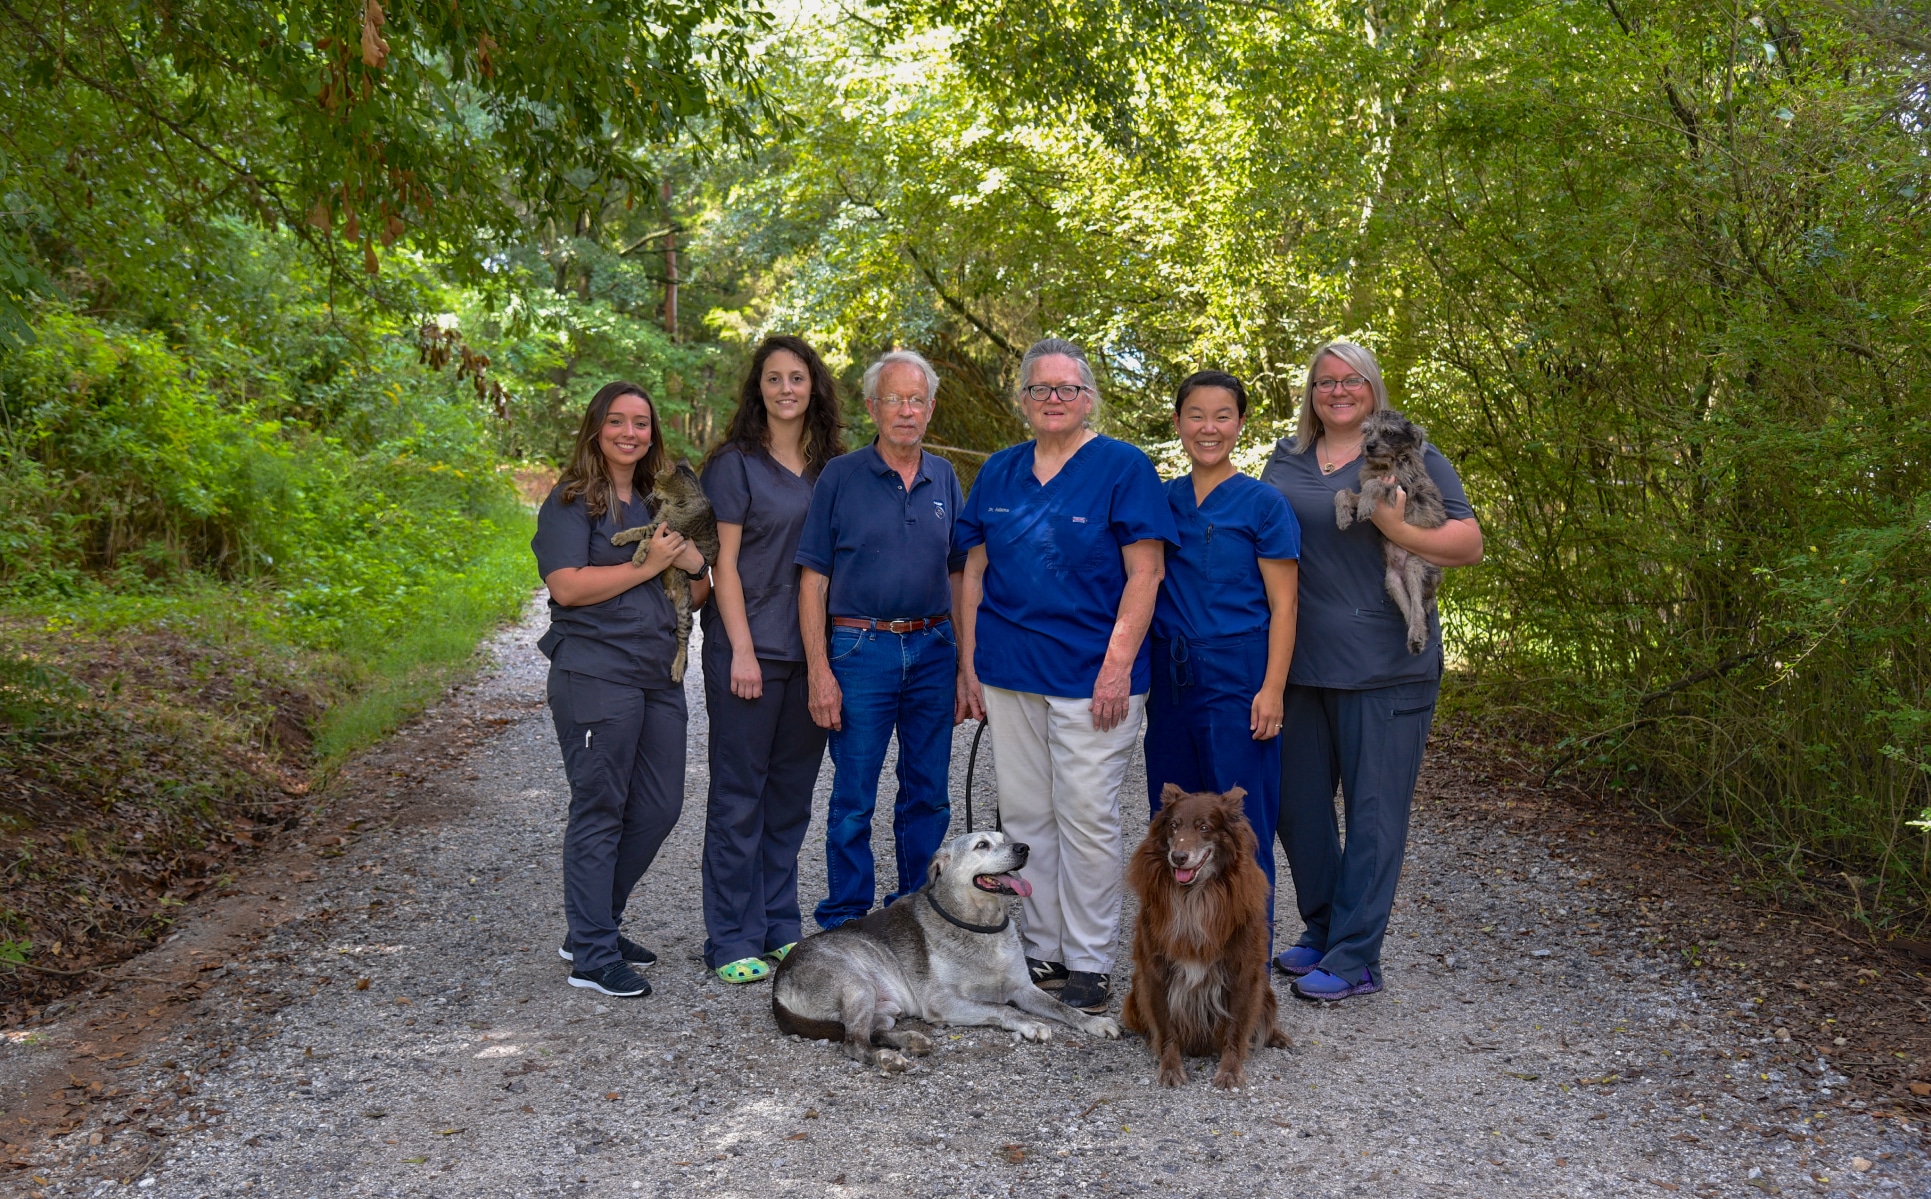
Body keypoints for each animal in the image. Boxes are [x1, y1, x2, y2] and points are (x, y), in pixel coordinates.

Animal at [610, 461, 718, 683]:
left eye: (656, 479)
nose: (651, 488)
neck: (674, 503)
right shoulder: (659, 524)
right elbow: (644, 537)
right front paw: (636, 550)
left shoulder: (668, 530)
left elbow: (642, 533)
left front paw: (627, 543)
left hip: (684, 611)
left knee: (682, 642)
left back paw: (677, 668)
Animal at [776, 826, 1127, 1073]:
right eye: (982, 845)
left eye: (1006, 839)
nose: (1024, 847)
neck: (981, 925)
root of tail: (778, 984)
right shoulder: (944, 1001)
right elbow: (1002, 1009)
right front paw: (1029, 1023)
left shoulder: (1024, 989)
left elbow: (1063, 1008)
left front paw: (1092, 1022)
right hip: (858, 985)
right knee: (854, 1042)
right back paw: (889, 1058)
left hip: (884, 1007)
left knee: (871, 1031)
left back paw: (910, 1040)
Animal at [1127, 783, 1289, 1081]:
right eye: (1174, 826)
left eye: (1204, 827)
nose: (1178, 857)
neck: (1194, 897)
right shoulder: (1156, 969)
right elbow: (1166, 1026)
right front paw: (1170, 1067)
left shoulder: (1241, 969)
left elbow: (1237, 1026)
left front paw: (1230, 1071)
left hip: (1264, 987)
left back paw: (1277, 1036)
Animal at [1343, 409, 1452, 656]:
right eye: (1367, 431)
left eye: (1389, 433)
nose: (1369, 447)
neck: (1386, 464)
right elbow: (1343, 492)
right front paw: (1342, 515)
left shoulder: (1399, 488)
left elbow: (1373, 484)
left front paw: (1365, 506)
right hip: (1392, 581)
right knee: (1410, 609)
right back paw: (1415, 637)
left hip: (1415, 566)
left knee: (1418, 608)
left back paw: (1417, 635)